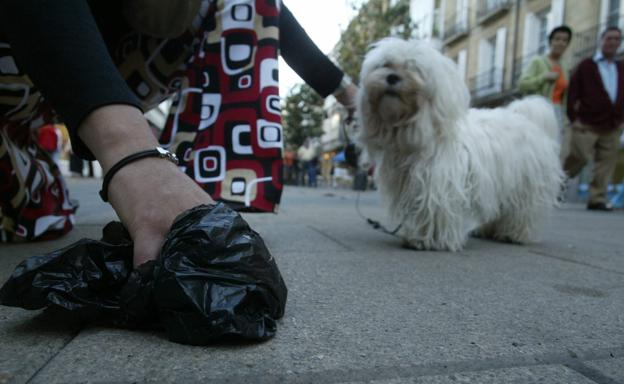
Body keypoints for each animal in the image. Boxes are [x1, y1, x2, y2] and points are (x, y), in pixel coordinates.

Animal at [356, 37, 564, 250]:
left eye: (414, 68)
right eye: (385, 64)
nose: (392, 77)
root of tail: (529, 120)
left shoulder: (437, 183)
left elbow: (432, 209)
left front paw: (427, 239)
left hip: (525, 185)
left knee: (521, 212)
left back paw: (514, 234)